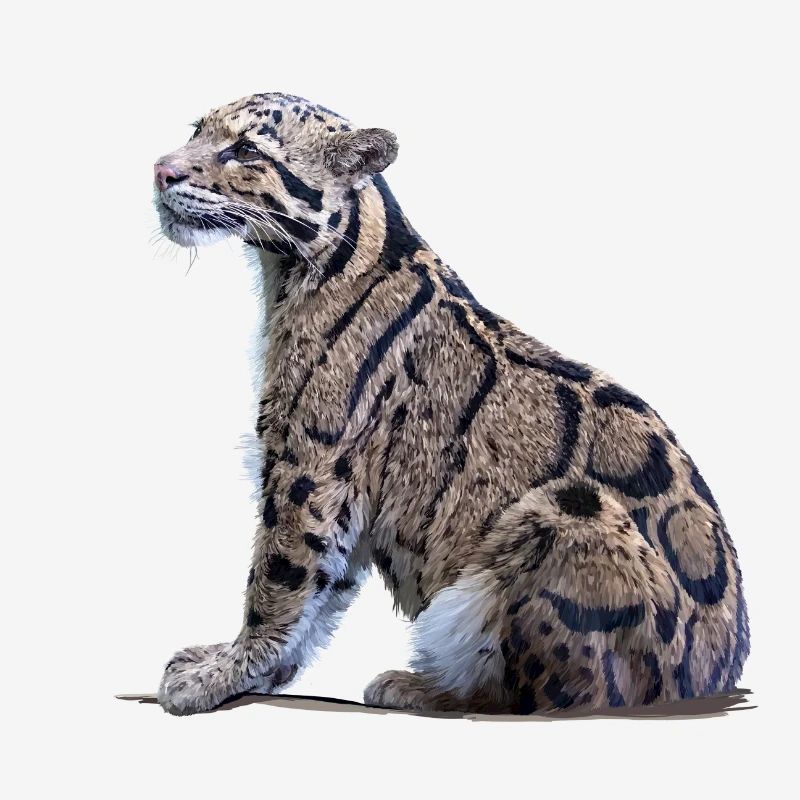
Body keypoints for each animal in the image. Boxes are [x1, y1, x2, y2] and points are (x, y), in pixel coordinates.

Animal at [153, 91, 749, 716]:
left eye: (246, 150)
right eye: (196, 130)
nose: (161, 171)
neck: (287, 274)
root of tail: (717, 673)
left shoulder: (308, 463)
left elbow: (281, 577)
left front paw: (223, 672)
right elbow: (323, 589)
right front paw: (255, 669)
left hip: (570, 510)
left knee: (557, 695)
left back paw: (424, 685)